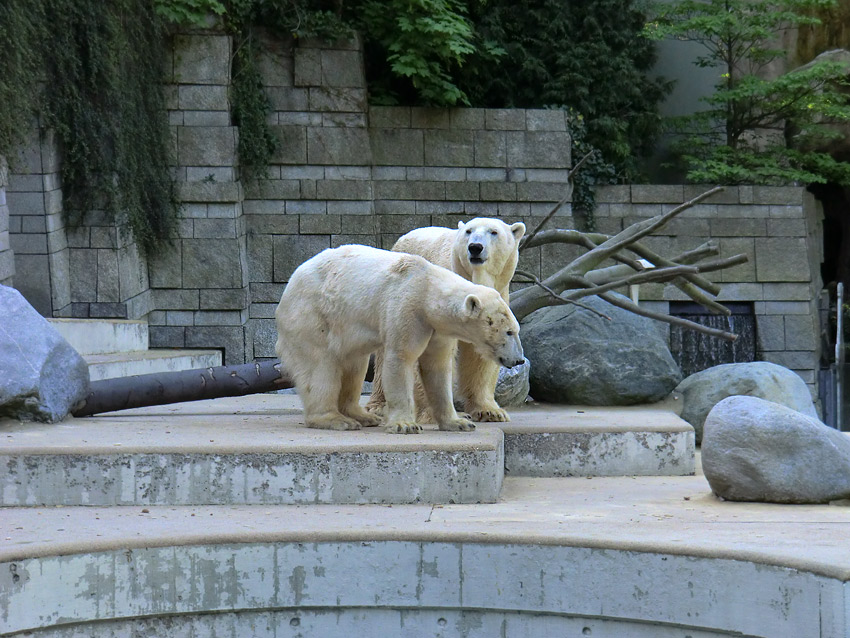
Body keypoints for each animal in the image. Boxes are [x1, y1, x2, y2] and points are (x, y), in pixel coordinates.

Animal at [274, 245, 524, 436]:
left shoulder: (436, 328)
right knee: (320, 367)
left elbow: (437, 367)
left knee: (354, 365)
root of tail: (289, 285)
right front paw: (406, 424)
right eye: (509, 332)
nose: (520, 360)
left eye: (516, 330)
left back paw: (362, 416)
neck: (426, 287)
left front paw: (459, 422)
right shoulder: (406, 308)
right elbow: (400, 359)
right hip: (313, 316)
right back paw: (336, 419)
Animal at [364, 218, 524, 422]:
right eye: (468, 231)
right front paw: (434, 414)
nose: (475, 247)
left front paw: (490, 411)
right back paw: (377, 406)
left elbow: (481, 354)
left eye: (494, 232)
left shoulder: (496, 299)